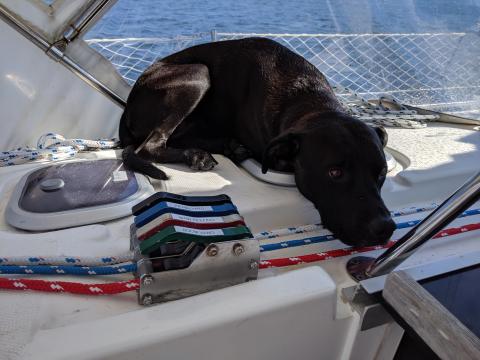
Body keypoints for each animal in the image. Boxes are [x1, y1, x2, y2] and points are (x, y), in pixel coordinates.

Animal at [119, 38, 394, 246]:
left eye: (381, 173)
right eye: (334, 172)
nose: (385, 228)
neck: (308, 99)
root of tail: (128, 105)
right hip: (198, 74)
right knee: (151, 145)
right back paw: (198, 155)